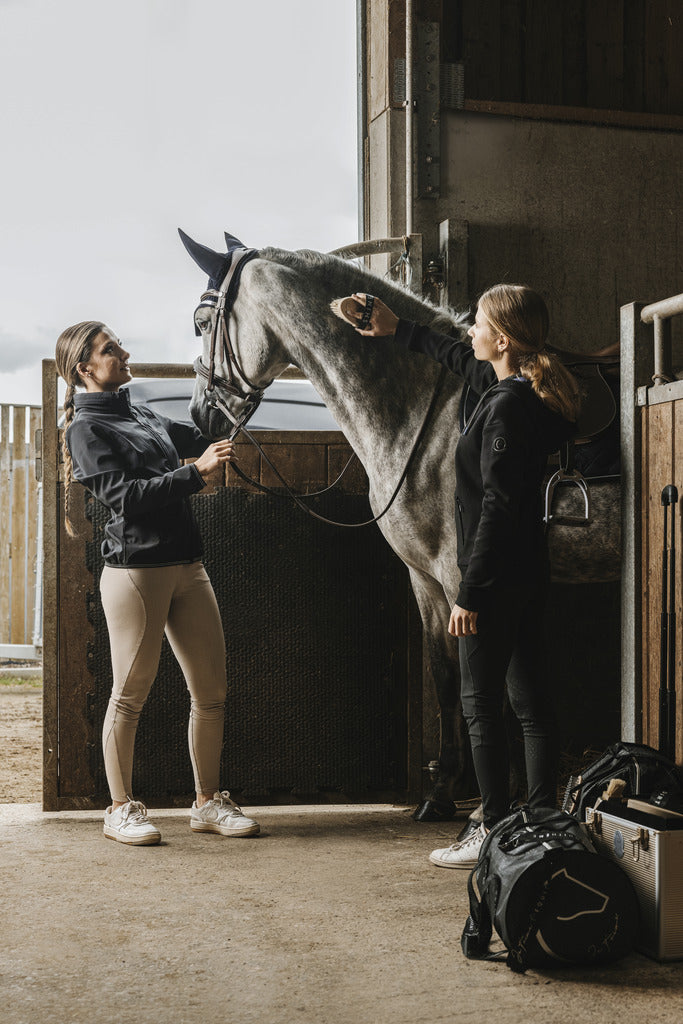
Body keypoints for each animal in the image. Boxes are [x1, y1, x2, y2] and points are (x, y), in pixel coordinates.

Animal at [180, 232, 618, 815]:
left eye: (203, 322)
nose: (199, 415)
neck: (425, 416)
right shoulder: (427, 580)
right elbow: (445, 677)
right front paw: (441, 794)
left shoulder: (467, 581)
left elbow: (489, 688)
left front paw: (492, 806)